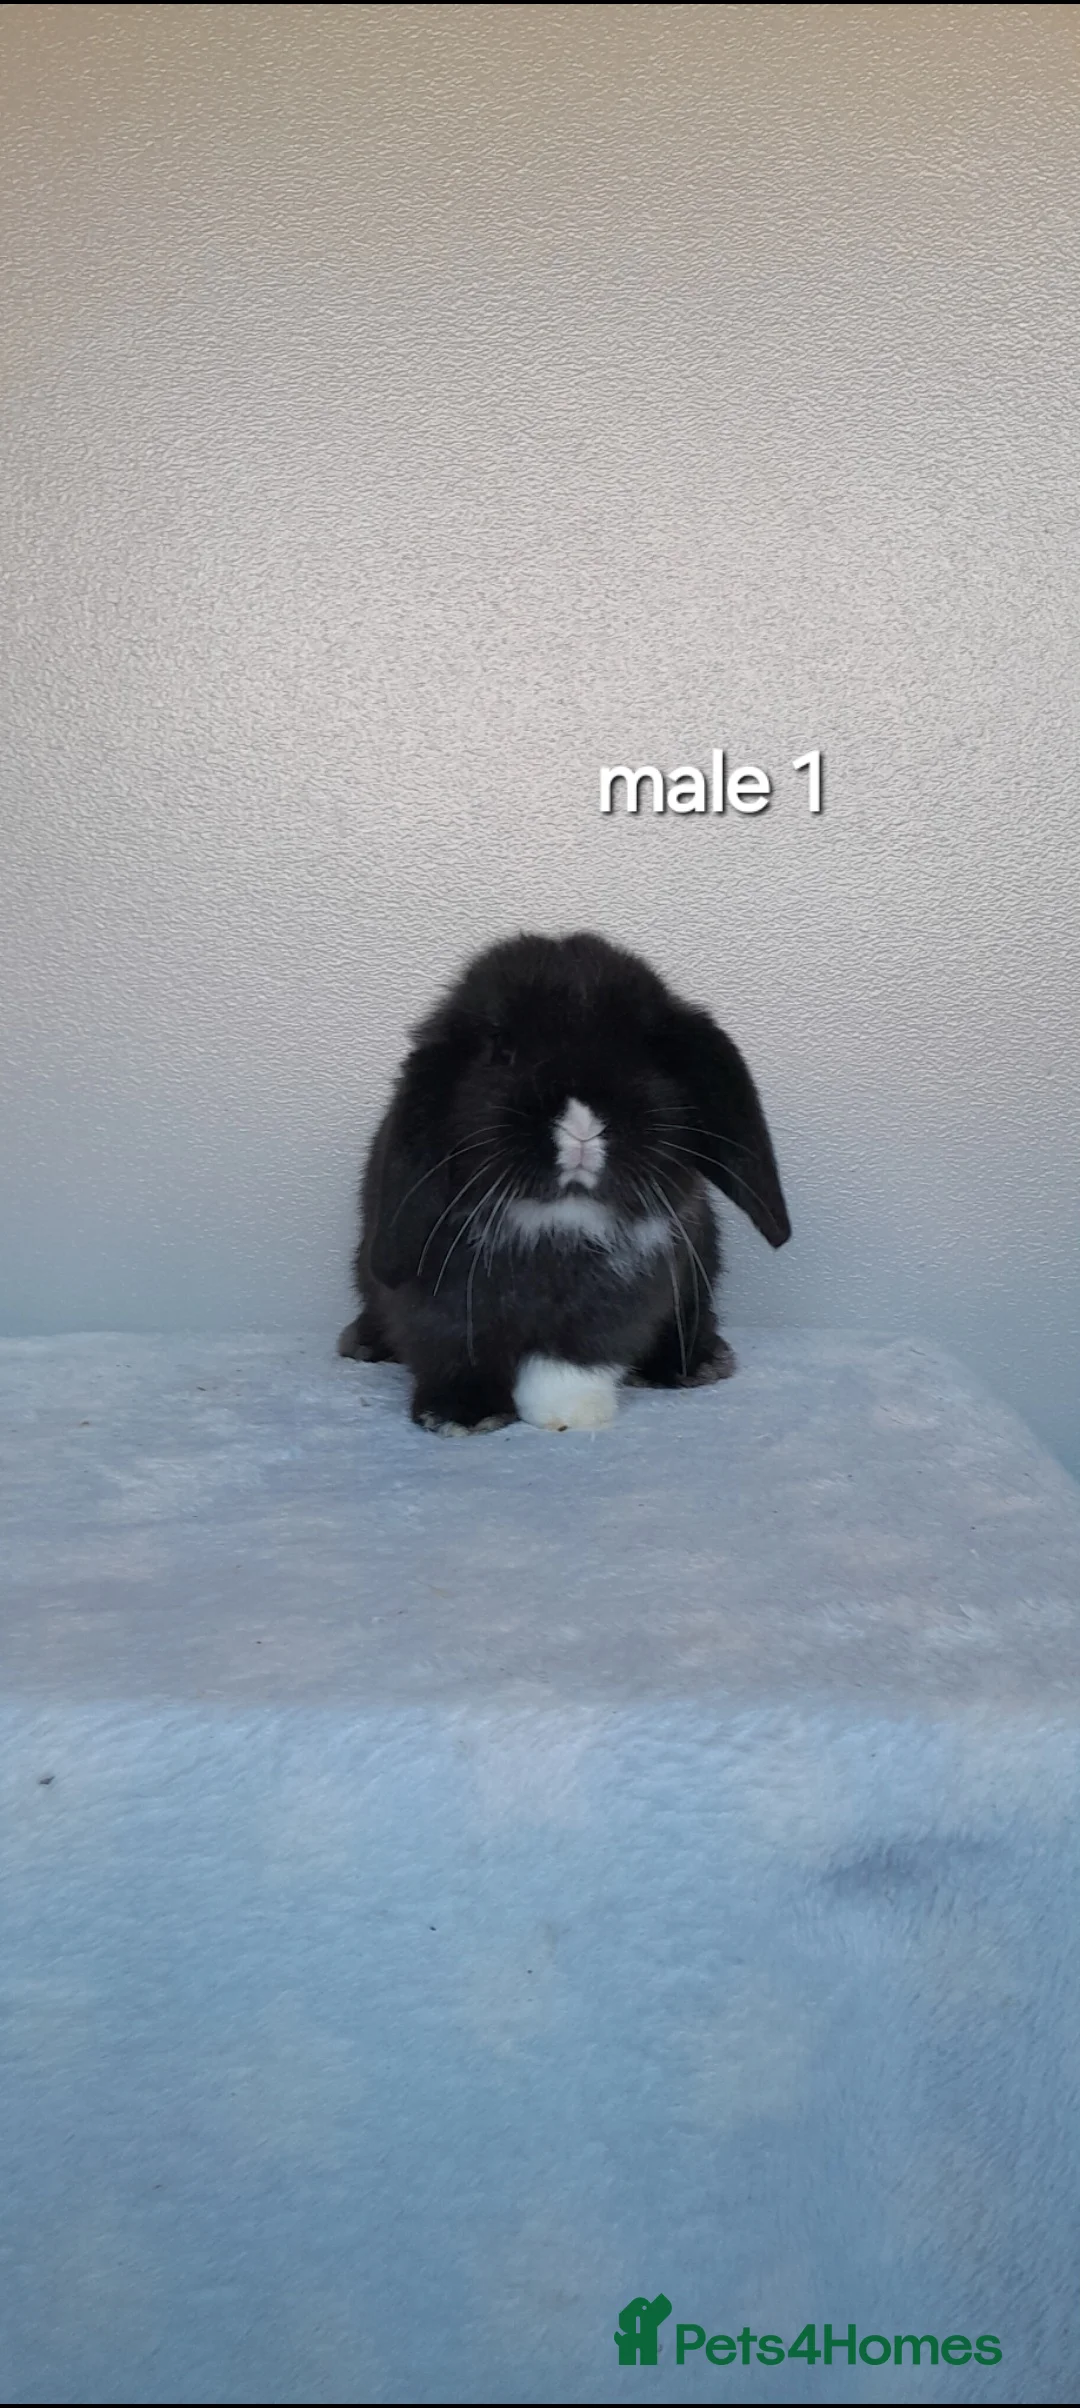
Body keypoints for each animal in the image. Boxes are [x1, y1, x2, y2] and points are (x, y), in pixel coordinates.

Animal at [338, 930, 790, 1434]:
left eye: (643, 1053)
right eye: (502, 1051)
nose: (581, 1125)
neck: (558, 1216)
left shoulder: (622, 1292)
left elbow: (577, 1354)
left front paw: (569, 1414)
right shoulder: (440, 1303)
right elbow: (455, 1348)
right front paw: (462, 1415)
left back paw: (695, 1363)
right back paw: (365, 1344)